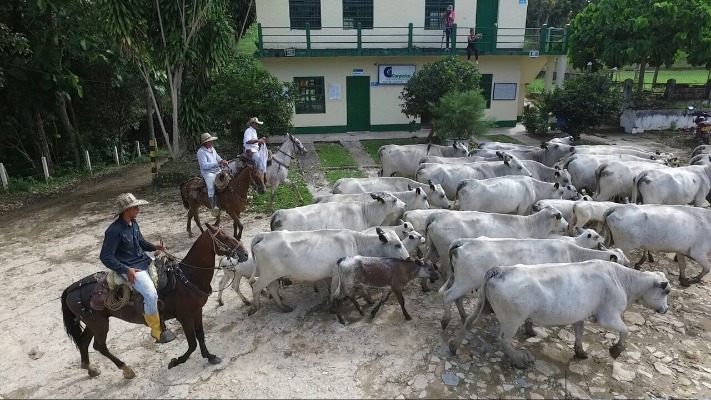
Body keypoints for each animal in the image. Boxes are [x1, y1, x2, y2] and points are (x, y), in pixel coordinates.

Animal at [61, 225, 250, 378]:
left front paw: (210, 357)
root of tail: (71, 288)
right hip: (99, 324)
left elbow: (201, 337)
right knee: (100, 346)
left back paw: (91, 369)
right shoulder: (185, 317)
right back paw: (126, 370)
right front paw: (175, 361)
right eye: (224, 237)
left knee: (84, 342)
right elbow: (192, 343)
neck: (187, 278)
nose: (245, 254)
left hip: (93, 323)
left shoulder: (197, 312)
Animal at [248, 228, 412, 316]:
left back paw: (283, 307)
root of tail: (264, 235)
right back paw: (255, 307)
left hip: (272, 275)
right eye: (397, 245)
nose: (408, 257)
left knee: (272, 288)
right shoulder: (344, 272)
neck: (357, 242)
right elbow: (345, 289)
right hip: (268, 274)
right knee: (256, 287)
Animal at [442, 238, 632, 328]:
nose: (632, 267)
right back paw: (446, 320)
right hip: (465, 282)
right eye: (624, 264)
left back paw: (463, 316)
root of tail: (462, 242)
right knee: (447, 296)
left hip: (458, 280)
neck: (573, 254)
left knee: (454, 297)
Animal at [450, 260, 672, 368]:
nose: (666, 310)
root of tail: (501, 269)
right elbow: (626, 331)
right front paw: (616, 350)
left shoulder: (580, 315)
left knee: (469, 322)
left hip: (485, 306)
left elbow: (579, 333)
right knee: (503, 340)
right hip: (512, 318)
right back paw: (519, 361)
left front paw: (580, 352)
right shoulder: (608, 316)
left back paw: (454, 346)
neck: (622, 279)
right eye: (666, 292)